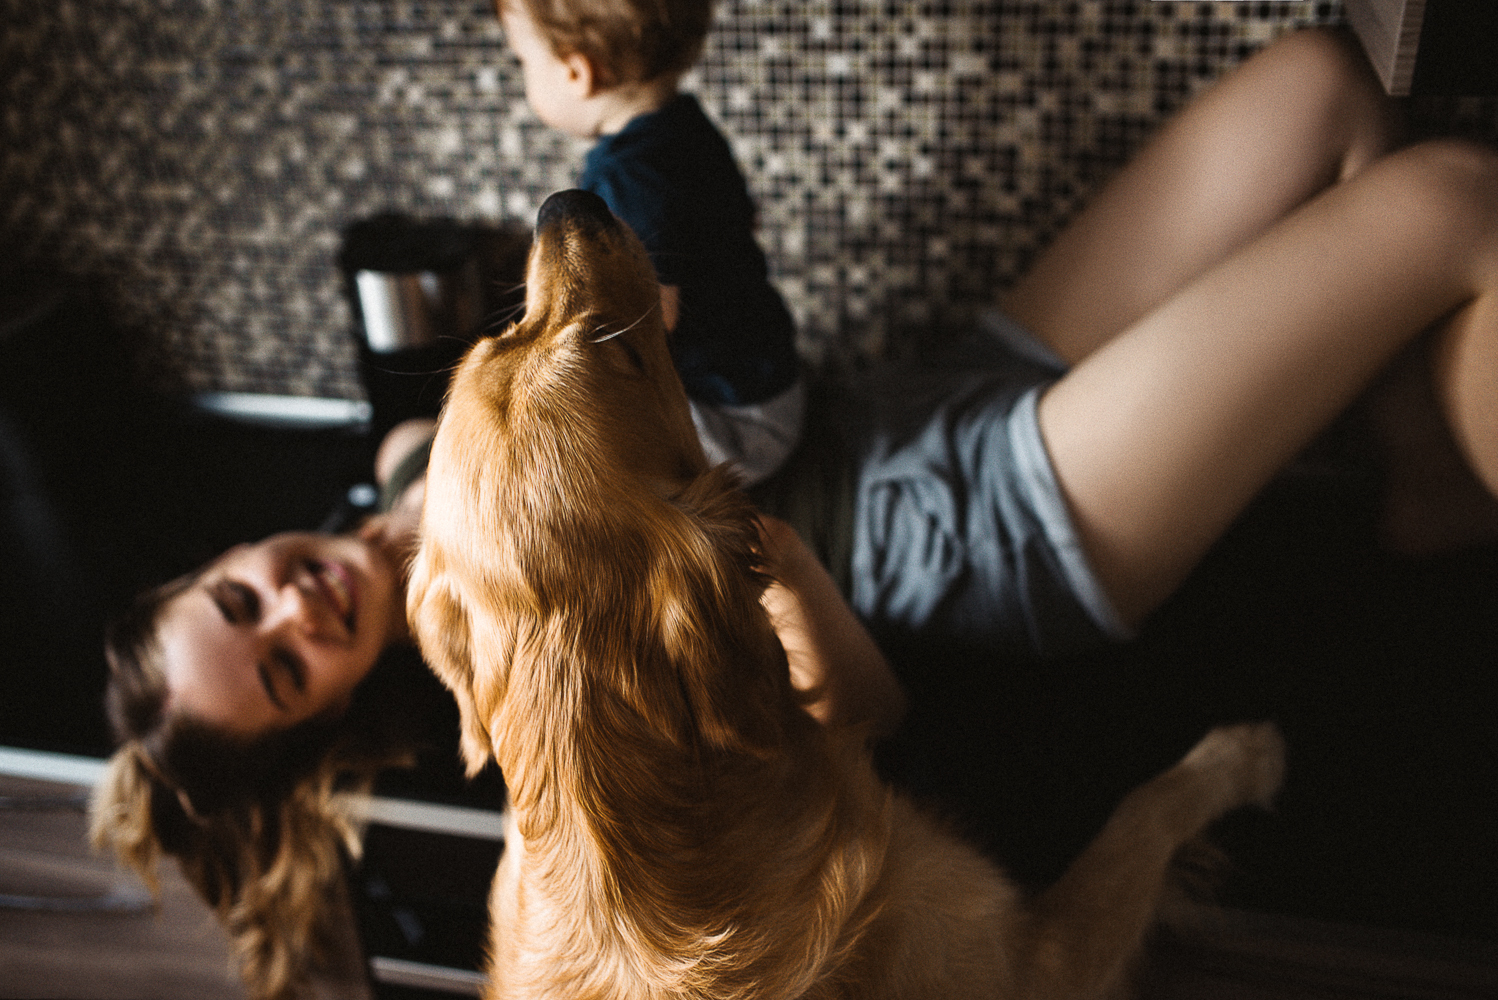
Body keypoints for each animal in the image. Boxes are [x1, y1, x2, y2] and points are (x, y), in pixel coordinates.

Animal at [410, 189, 1288, 999]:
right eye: (618, 356)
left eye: (497, 336)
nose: (569, 202)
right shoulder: (1039, 957)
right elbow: (1145, 810)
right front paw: (1245, 754)